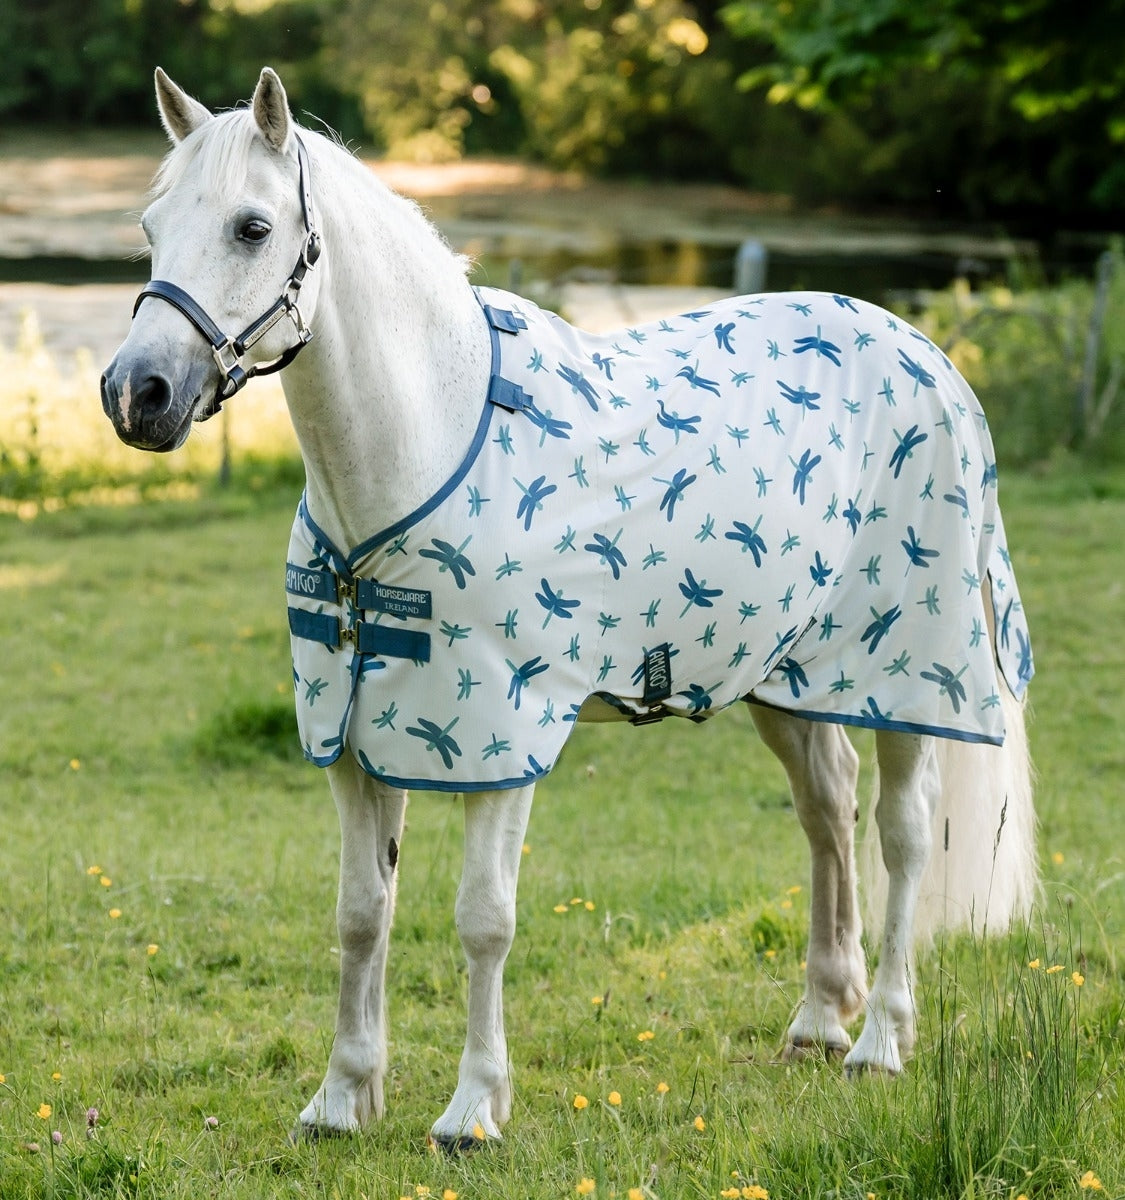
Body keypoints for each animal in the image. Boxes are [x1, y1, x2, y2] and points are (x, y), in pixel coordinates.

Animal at [100, 68, 1037, 1149]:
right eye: (151, 225)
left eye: (252, 228)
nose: (136, 393)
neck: (425, 446)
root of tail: (927, 355)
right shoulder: (356, 739)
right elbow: (360, 911)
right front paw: (341, 1098)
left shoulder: (502, 741)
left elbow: (482, 919)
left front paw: (472, 1109)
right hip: (787, 676)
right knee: (826, 811)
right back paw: (816, 1022)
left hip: (906, 679)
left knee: (904, 834)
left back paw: (881, 1037)